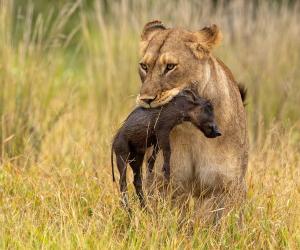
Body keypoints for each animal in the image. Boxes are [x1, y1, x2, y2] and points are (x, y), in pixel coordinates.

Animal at [136, 20, 248, 217]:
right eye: (144, 66)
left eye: (170, 67)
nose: (146, 99)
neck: (191, 129)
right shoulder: (162, 184)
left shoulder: (227, 186)